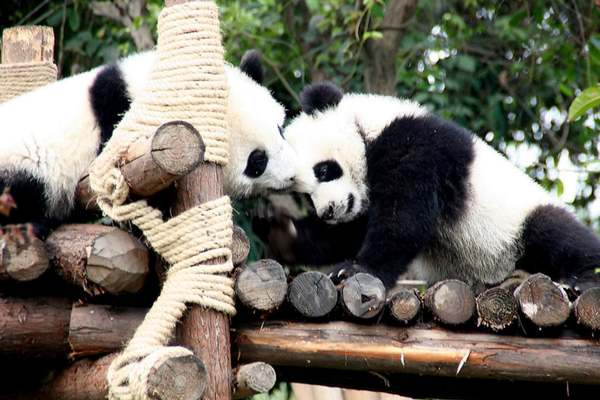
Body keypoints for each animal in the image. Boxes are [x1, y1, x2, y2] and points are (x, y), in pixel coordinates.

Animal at [278, 82, 600, 294]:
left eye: (323, 170)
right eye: (305, 193)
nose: (329, 211)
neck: (368, 125)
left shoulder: (415, 146)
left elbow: (404, 218)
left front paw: (356, 269)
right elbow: (350, 232)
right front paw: (287, 236)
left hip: (516, 224)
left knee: (555, 232)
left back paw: (580, 279)